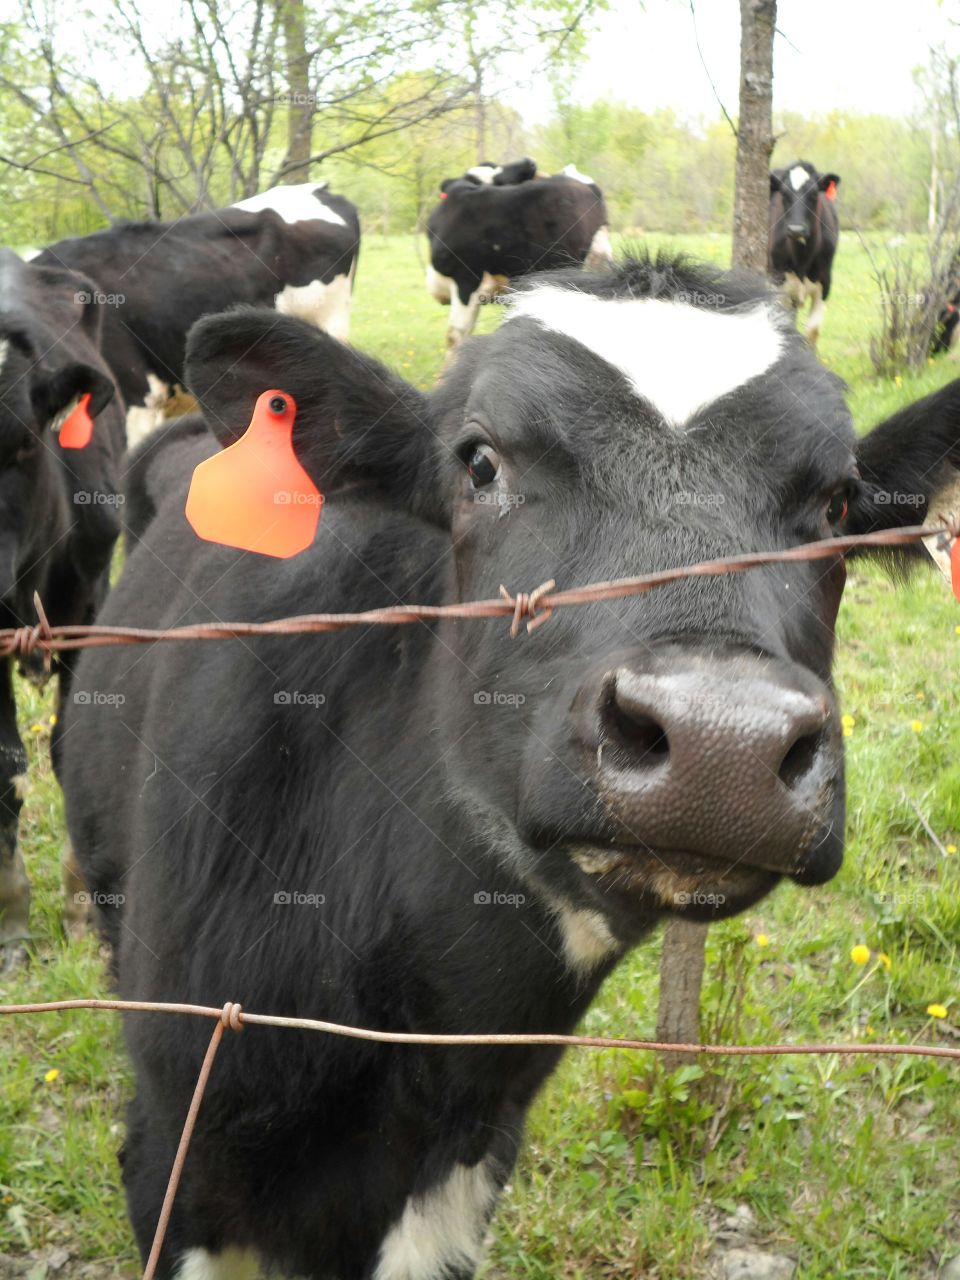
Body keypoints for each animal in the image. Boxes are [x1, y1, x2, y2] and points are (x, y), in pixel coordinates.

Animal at [768, 160, 841, 348]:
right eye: (784, 194)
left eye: (814, 194)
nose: (796, 229)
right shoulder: (778, 283)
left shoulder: (824, 284)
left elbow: (812, 332)